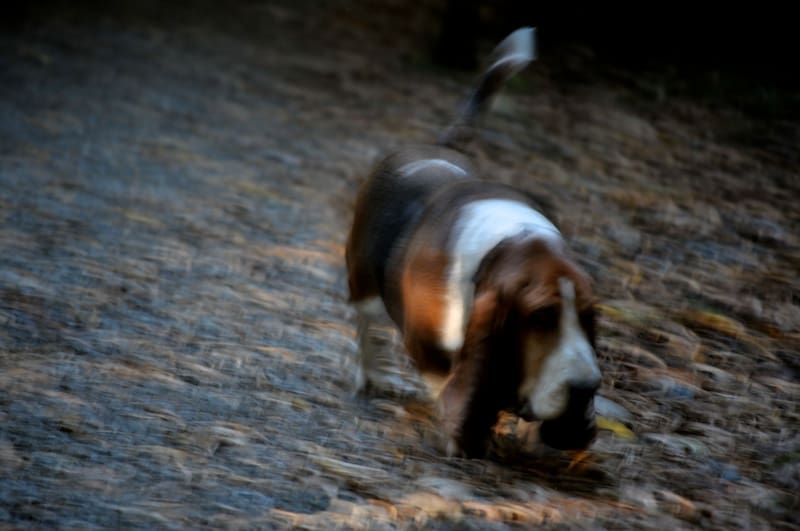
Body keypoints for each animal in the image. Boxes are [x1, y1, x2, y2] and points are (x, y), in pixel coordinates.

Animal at [344, 28, 600, 458]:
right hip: (364, 283)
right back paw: (371, 377)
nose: (586, 389)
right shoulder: (427, 348)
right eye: (541, 316)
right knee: (365, 327)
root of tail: (439, 147)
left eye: (589, 316)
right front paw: (461, 435)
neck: (509, 245)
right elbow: (449, 383)